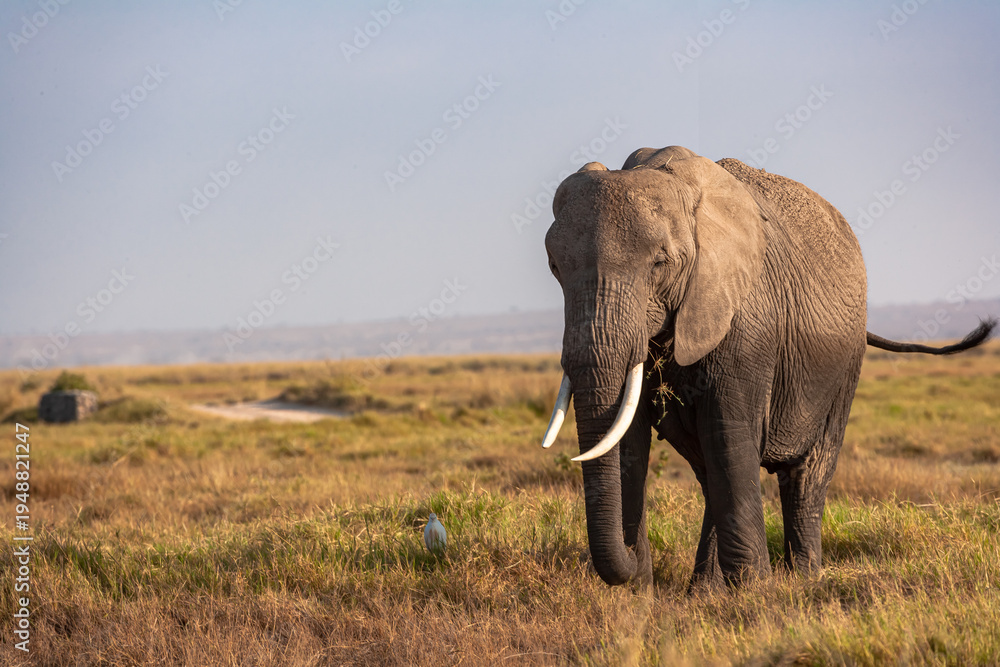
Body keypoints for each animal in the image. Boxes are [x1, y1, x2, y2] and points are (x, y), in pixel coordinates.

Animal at [540, 145, 995, 589]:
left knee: (803, 473)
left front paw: (754, 592)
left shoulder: (748, 321)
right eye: (555, 268)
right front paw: (638, 596)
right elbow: (626, 438)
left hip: (844, 365)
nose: (631, 561)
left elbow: (728, 430)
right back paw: (706, 592)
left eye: (659, 263)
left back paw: (802, 581)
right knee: (713, 473)